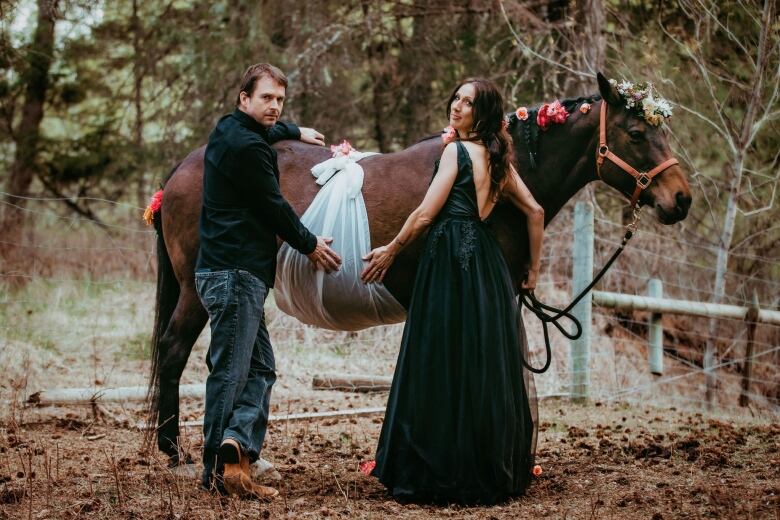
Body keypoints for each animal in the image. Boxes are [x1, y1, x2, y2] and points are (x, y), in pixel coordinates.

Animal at [145, 73, 688, 464]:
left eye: (662, 130)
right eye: (637, 133)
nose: (681, 199)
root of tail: (184, 167)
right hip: (197, 291)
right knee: (174, 352)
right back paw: (175, 451)